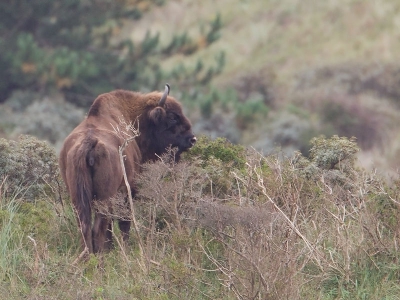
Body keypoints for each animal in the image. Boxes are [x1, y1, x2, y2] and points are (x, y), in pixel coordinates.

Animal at [59, 84, 195, 253]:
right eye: (172, 117)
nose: (192, 139)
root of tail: (89, 142)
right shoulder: (128, 192)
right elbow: (124, 223)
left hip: (78, 197)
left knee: (85, 227)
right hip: (105, 197)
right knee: (99, 227)